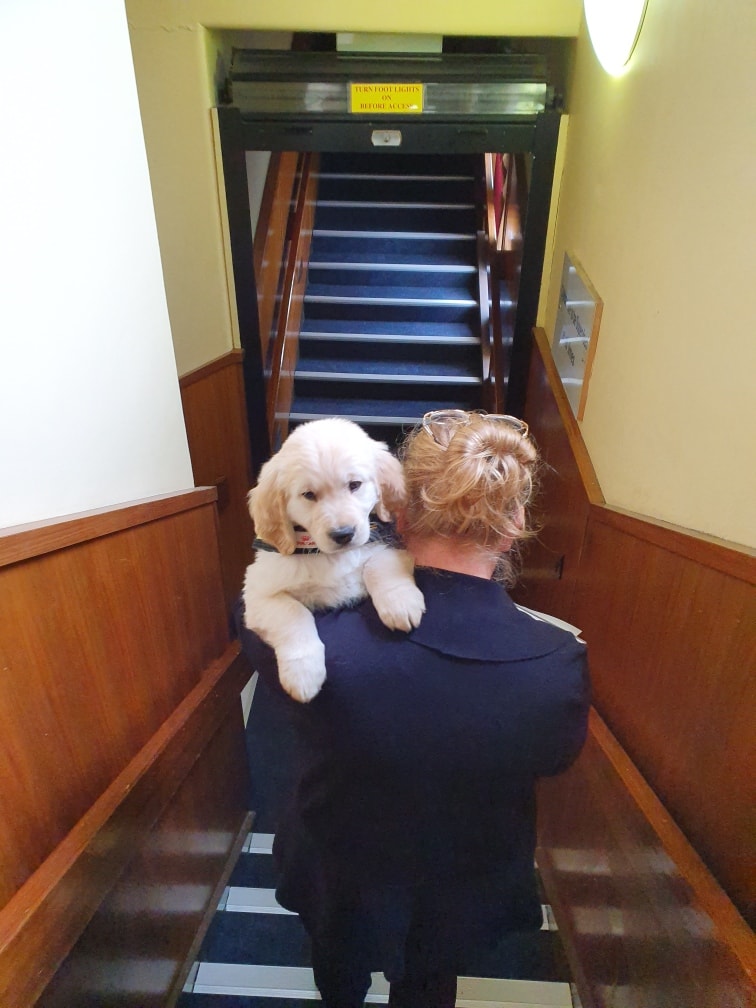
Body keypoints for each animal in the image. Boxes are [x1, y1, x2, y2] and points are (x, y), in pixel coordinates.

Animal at [242, 417, 427, 701]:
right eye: (308, 495)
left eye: (354, 485)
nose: (343, 534)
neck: (329, 556)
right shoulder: (257, 593)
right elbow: (293, 612)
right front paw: (303, 673)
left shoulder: (390, 542)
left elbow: (378, 565)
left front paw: (400, 603)